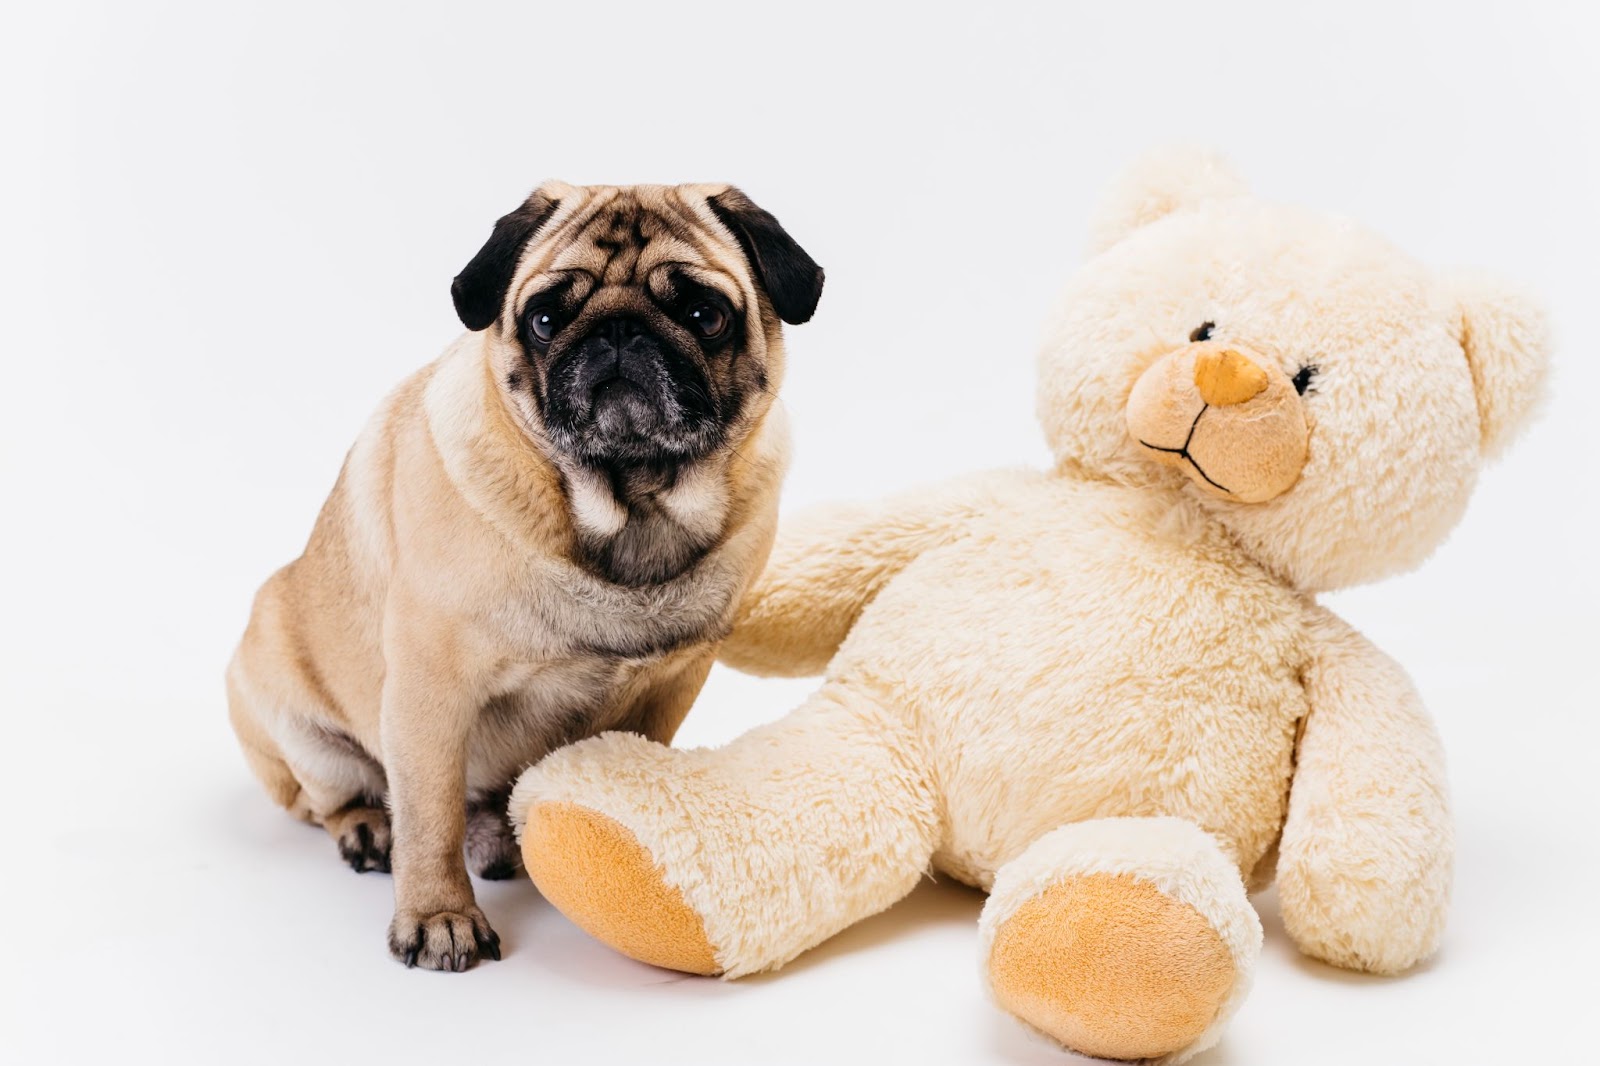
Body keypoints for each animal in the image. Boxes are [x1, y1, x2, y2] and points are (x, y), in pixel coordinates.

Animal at [228, 184, 825, 973]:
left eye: (705, 314)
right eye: (546, 318)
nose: (620, 332)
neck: (628, 506)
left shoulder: (673, 680)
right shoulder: (429, 692)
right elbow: (428, 816)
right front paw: (439, 916)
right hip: (289, 713)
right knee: (334, 797)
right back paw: (370, 829)